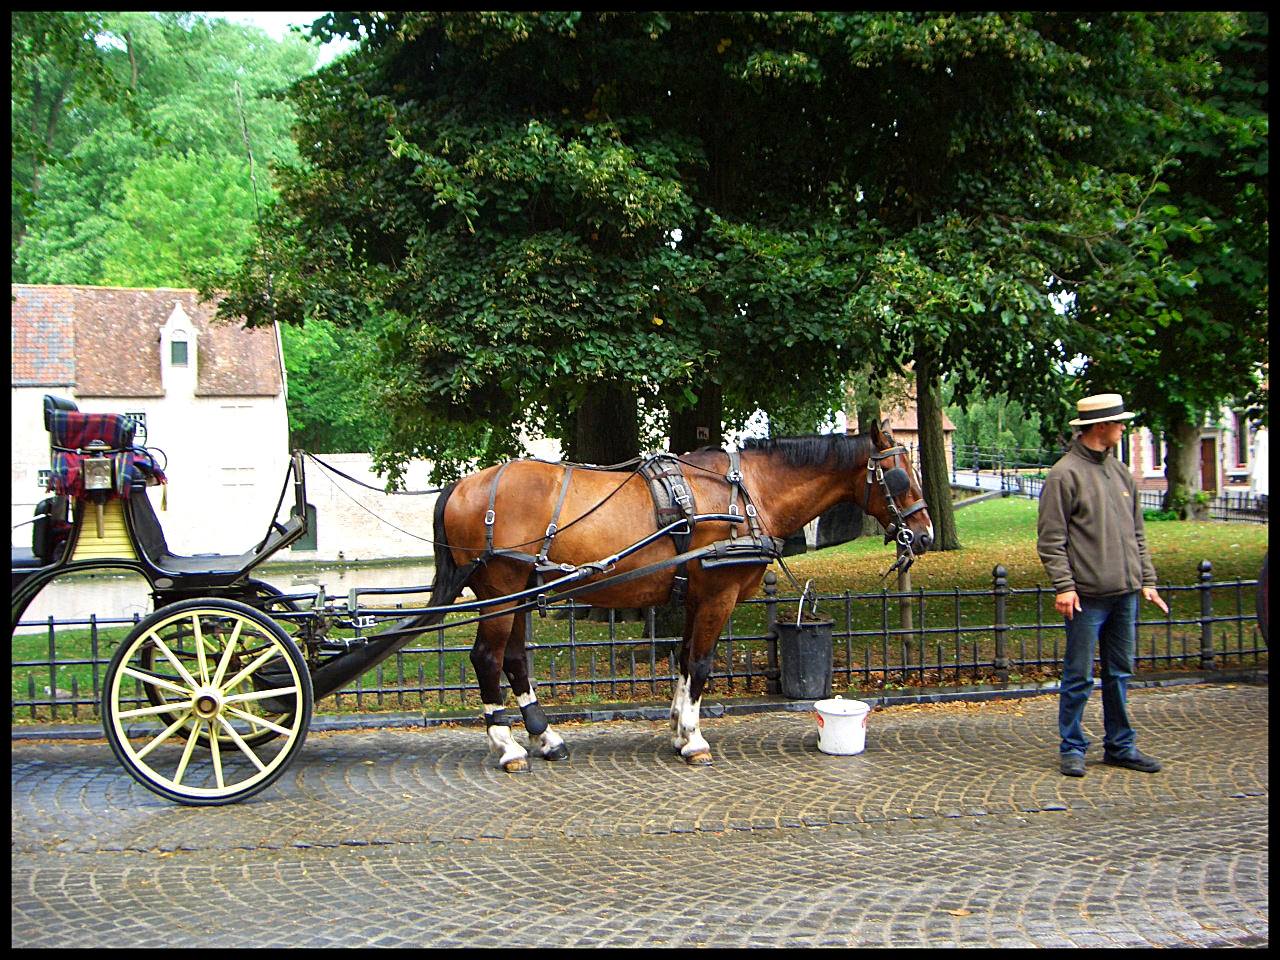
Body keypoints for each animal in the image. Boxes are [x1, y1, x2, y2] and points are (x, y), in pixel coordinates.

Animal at [424, 419, 936, 773]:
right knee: (487, 658)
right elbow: (702, 663)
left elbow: (686, 658)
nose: (925, 534)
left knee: (513, 659)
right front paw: (693, 739)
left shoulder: (696, 597)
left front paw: (676, 728)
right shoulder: (718, 595)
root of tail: (462, 486)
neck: (745, 496)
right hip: (500, 594)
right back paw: (506, 746)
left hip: (520, 594)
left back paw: (546, 738)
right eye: (899, 476)